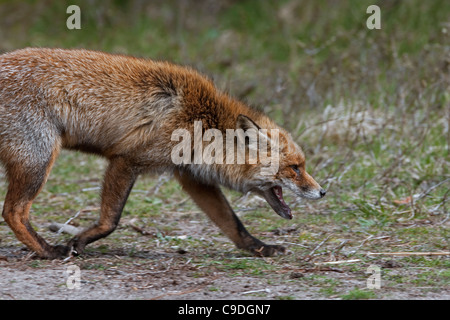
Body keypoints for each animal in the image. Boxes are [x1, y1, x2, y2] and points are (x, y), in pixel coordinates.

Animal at [0, 47, 324, 258]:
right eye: (295, 168)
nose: (323, 192)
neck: (202, 121)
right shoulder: (127, 160)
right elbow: (111, 220)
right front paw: (79, 241)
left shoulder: (191, 176)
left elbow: (233, 224)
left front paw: (259, 248)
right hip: (39, 160)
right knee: (13, 212)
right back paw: (48, 251)